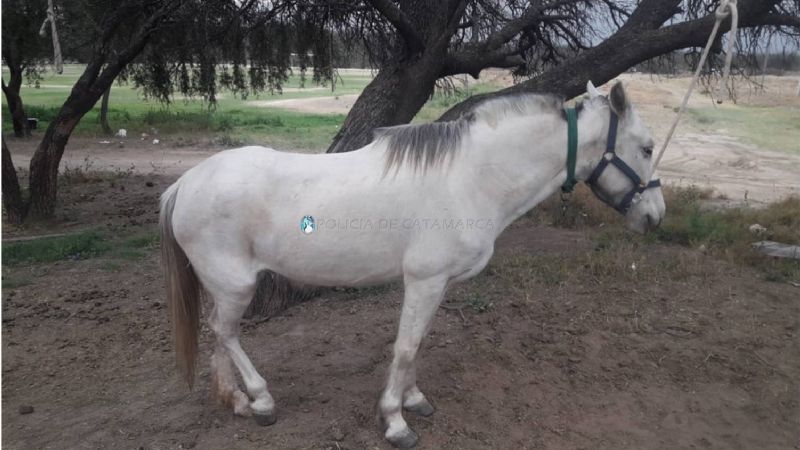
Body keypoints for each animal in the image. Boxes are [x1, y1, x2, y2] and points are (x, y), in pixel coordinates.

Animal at [160, 80, 665, 448]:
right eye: (646, 147)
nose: (655, 217)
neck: (469, 178)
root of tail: (186, 182)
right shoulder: (424, 281)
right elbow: (405, 347)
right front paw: (395, 422)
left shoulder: (437, 284)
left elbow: (418, 345)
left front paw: (415, 400)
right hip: (235, 285)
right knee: (226, 332)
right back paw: (262, 401)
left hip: (223, 286)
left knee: (220, 334)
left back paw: (237, 402)